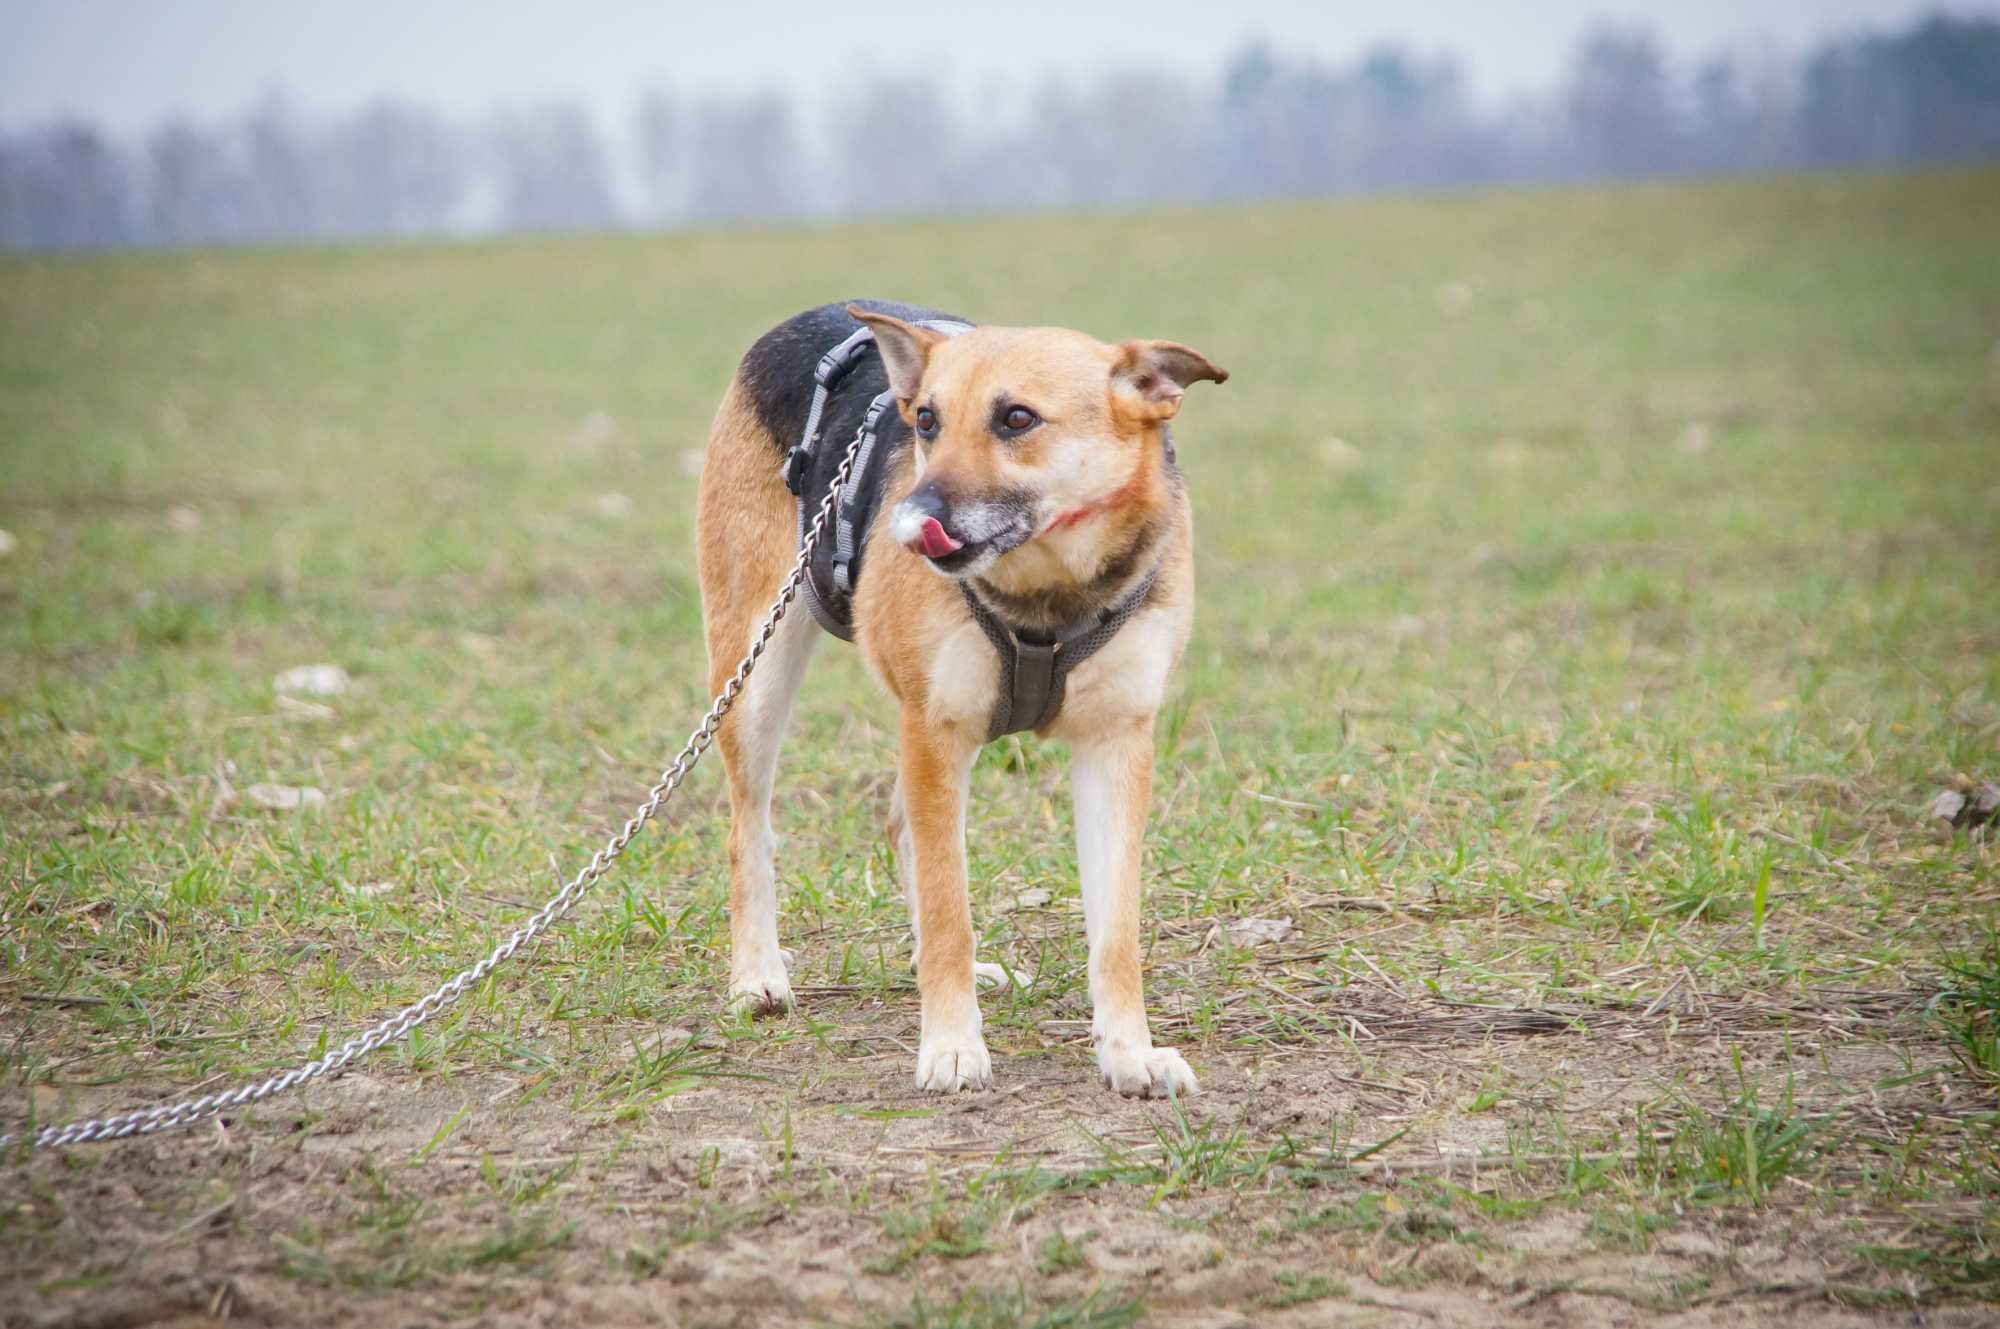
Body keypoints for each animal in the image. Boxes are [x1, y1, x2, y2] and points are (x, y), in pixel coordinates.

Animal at [692, 304, 1216, 1096]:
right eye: (928, 422)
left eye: (1017, 418)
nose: (909, 518)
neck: (1046, 595)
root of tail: (807, 318)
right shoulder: (936, 730)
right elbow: (949, 910)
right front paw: (951, 1045)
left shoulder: (1117, 743)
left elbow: (1115, 934)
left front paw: (1129, 1053)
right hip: (756, 675)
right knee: (747, 831)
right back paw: (758, 976)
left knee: (899, 829)